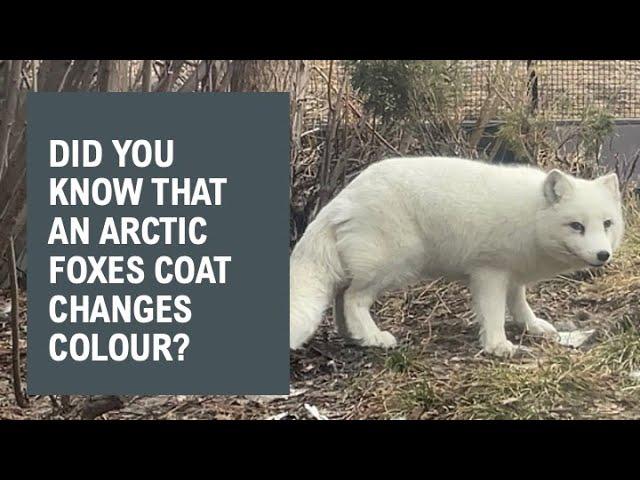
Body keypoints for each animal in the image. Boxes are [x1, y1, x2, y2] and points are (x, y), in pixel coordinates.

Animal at [292, 158, 624, 356]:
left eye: (607, 224)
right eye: (576, 226)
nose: (602, 255)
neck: (531, 217)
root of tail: (342, 198)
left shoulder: (514, 274)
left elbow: (520, 305)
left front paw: (532, 327)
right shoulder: (489, 272)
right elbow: (493, 313)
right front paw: (498, 345)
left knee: (340, 297)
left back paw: (355, 338)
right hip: (393, 265)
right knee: (352, 299)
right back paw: (374, 337)